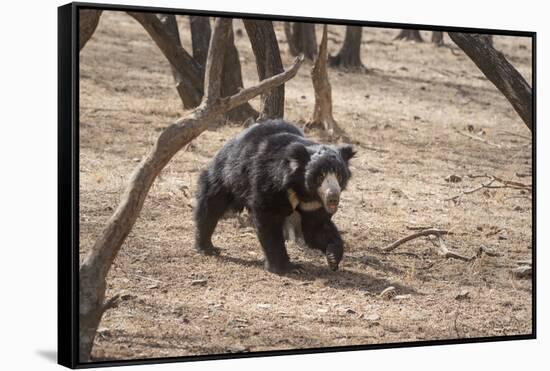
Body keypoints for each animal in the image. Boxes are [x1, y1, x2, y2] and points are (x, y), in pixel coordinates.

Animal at [194, 120, 358, 274]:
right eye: (320, 176)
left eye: (339, 175)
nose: (333, 197)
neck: (301, 189)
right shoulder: (270, 184)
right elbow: (269, 220)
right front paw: (288, 267)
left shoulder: (313, 204)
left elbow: (316, 227)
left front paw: (333, 257)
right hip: (228, 175)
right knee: (211, 204)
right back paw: (207, 247)